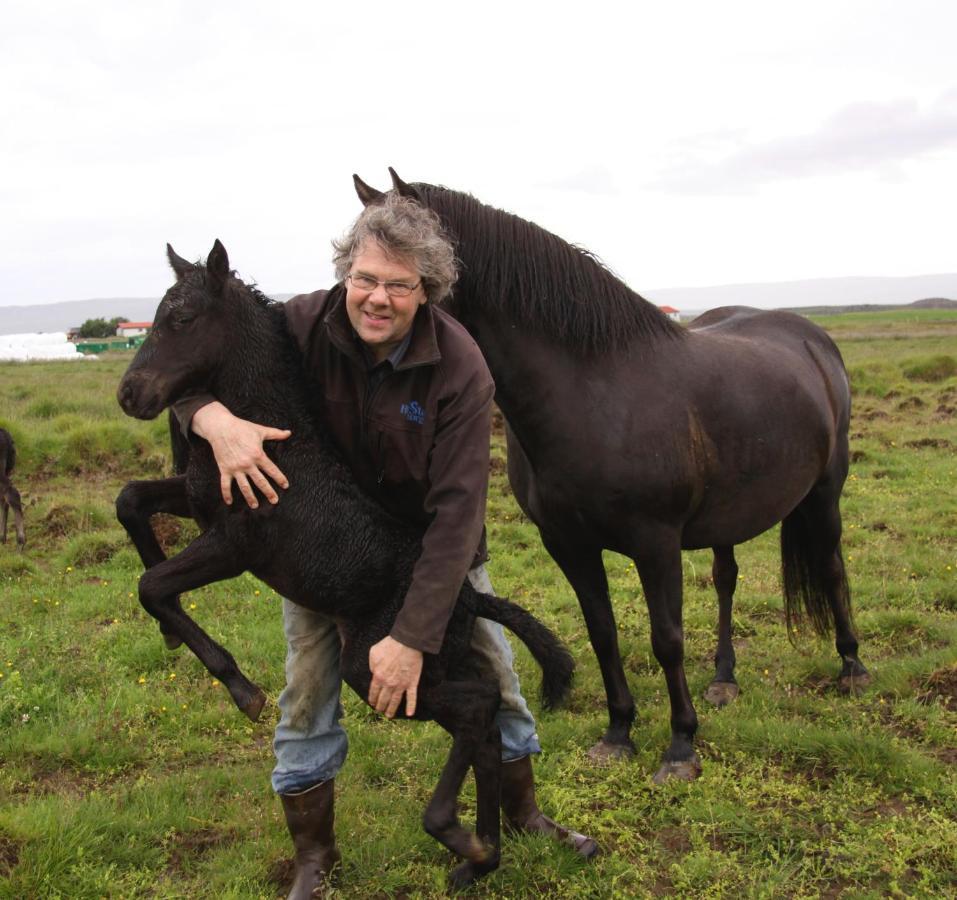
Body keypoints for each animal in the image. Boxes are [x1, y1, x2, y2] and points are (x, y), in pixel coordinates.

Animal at [115, 241, 572, 884]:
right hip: (431, 664)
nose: (130, 395)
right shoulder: (201, 501)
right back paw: (481, 857)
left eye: (181, 319)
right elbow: (130, 501)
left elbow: (151, 585)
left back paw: (458, 835)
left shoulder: (233, 545)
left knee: (478, 709)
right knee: (485, 724)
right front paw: (171, 636)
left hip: (378, 667)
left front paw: (243, 690)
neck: (271, 440)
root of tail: (467, 598)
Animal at [354, 167, 872, 780]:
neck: (593, 395)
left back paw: (852, 667)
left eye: (402, 277)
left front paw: (681, 746)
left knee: (833, 566)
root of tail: (813, 339)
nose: (359, 340)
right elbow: (603, 633)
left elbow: (667, 639)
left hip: (824, 493)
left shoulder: (656, 543)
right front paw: (618, 732)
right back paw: (724, 678)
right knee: (726, 578)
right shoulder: (568, 544)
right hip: (728, 516)